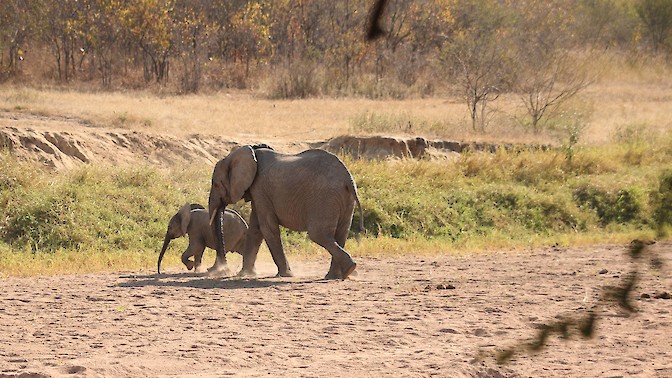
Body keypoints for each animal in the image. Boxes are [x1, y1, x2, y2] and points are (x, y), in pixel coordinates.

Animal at [210, 146, 364, 280]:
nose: (224, 269)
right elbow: (255, 229)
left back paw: (347, 269)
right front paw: (245, 274)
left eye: (216, 185)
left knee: (319, 234)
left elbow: (267, 227)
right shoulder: (259, 193)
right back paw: (337, 275)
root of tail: (348, 178)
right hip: (343, 198)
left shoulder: (260, 188)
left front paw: (285, 275)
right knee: (340, 234)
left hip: (325, 197)